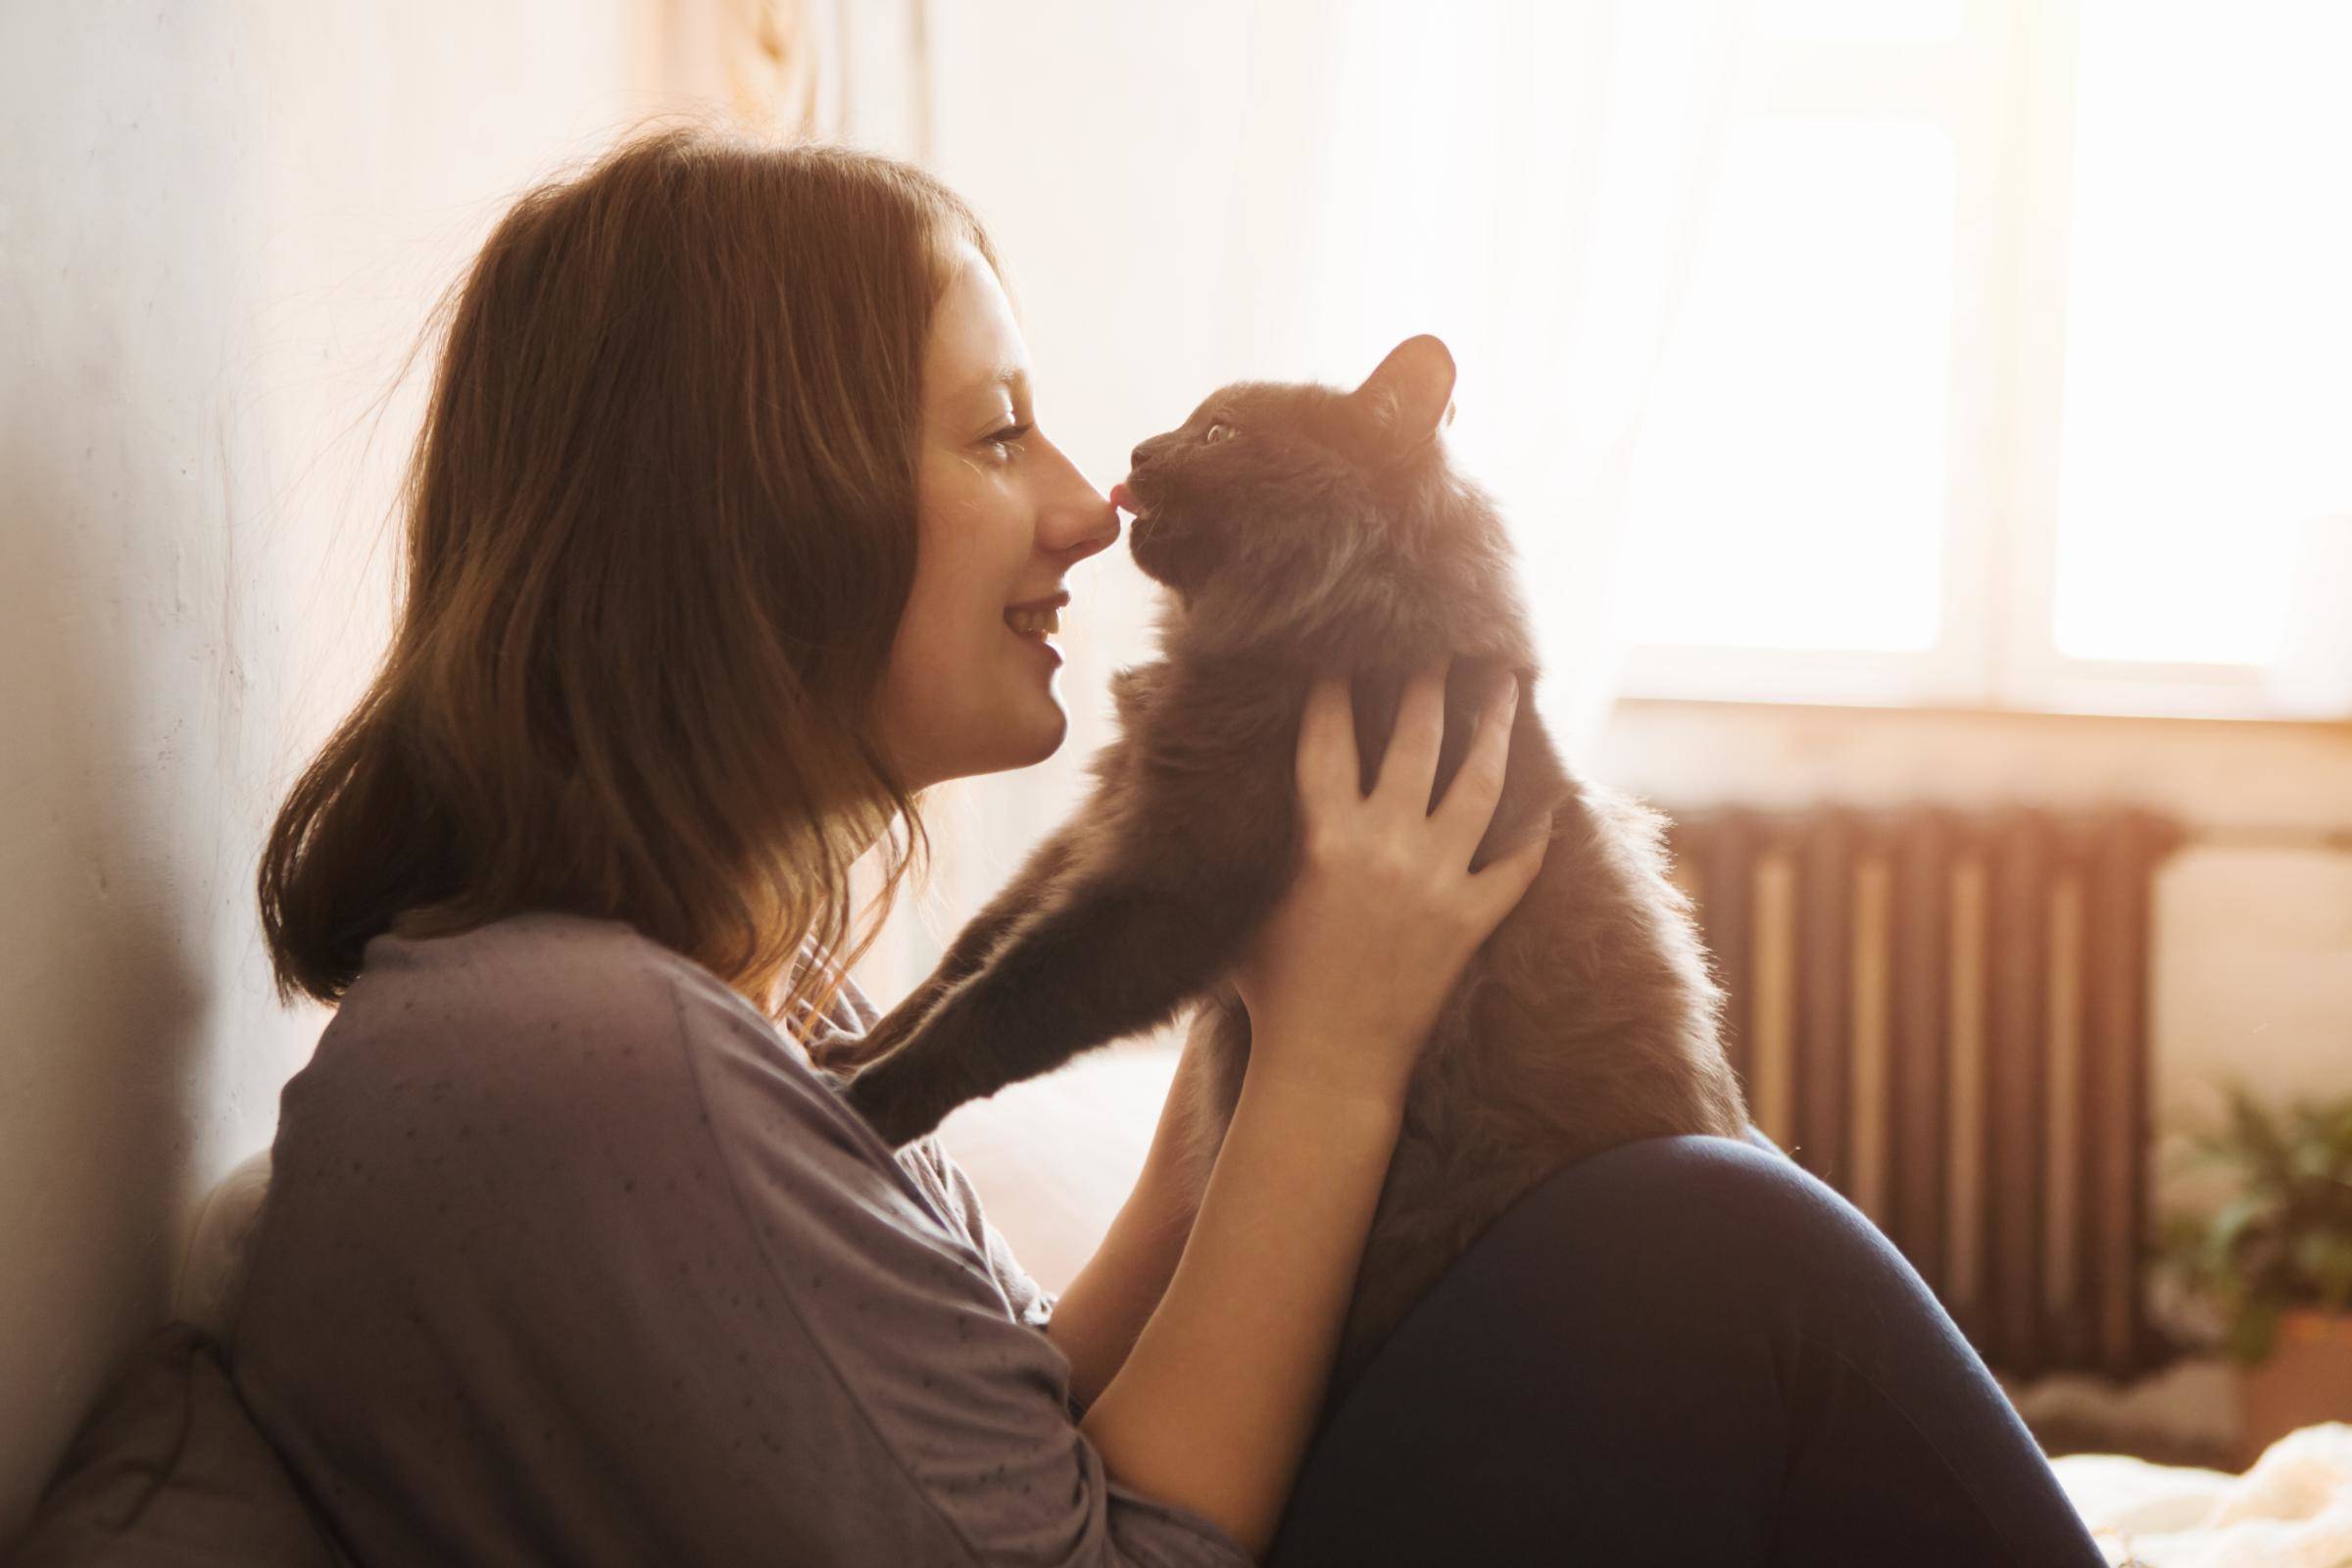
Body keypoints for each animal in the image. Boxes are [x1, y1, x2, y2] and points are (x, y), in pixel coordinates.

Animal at [837, 333, 1740, 1400]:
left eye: (1220, 434)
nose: (1139, 452)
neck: (1302, 648)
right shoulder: (1102, 825)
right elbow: (968, 954)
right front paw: (849, 1042)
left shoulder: (1167, 885)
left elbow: (1002, 1000)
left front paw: (869, 1102)